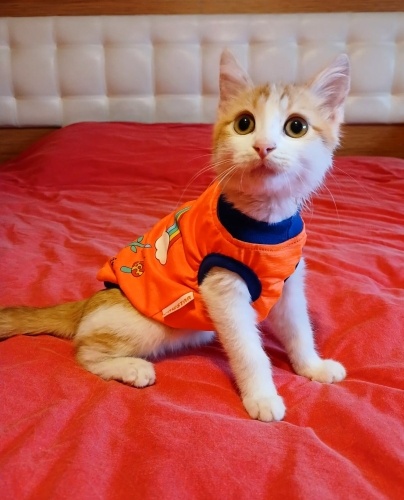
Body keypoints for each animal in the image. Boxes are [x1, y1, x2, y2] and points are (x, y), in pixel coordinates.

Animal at [0, 50, 350, 422]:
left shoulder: (289, 280)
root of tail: (89, 302)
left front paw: (312, 366)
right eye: (245, 124)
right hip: (145, 322)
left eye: (296, 126)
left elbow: (299, 329)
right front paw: (262, 396)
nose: (263, 147)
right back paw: (129, 367)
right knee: (84, 349)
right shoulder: (221, 287)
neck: (264, 225)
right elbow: (248, 349)